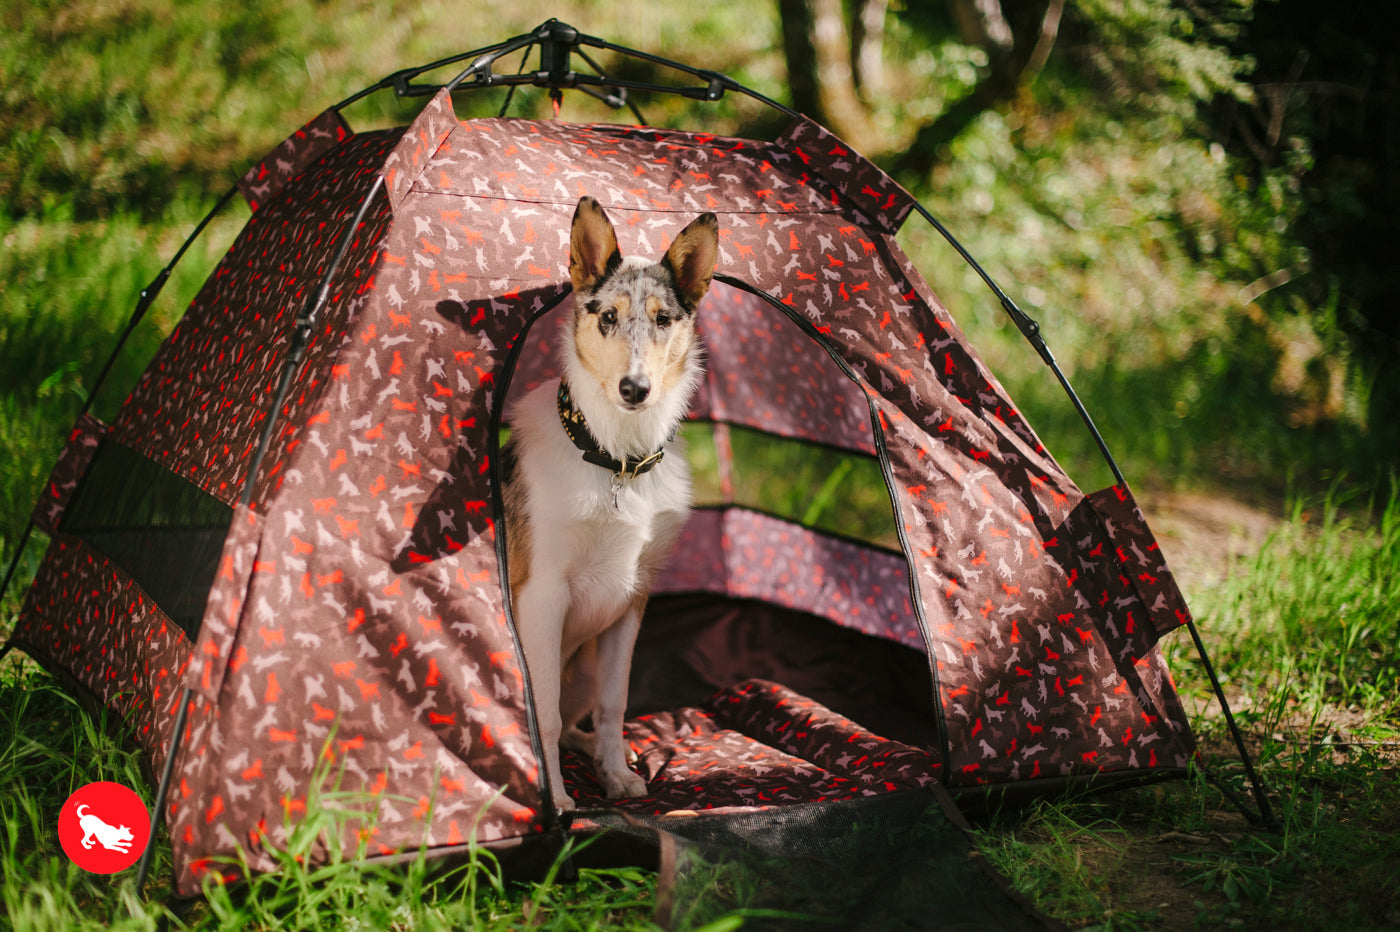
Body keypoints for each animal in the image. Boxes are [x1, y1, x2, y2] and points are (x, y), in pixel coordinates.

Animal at [504, 195, 716, 806]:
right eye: (607, 318)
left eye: (664, 320)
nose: (634, 389)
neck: (616, 459)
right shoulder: (543, 593)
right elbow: (542, 713)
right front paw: (555, 800)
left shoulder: (633, 597)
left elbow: (613, 703)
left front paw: (618, 773)